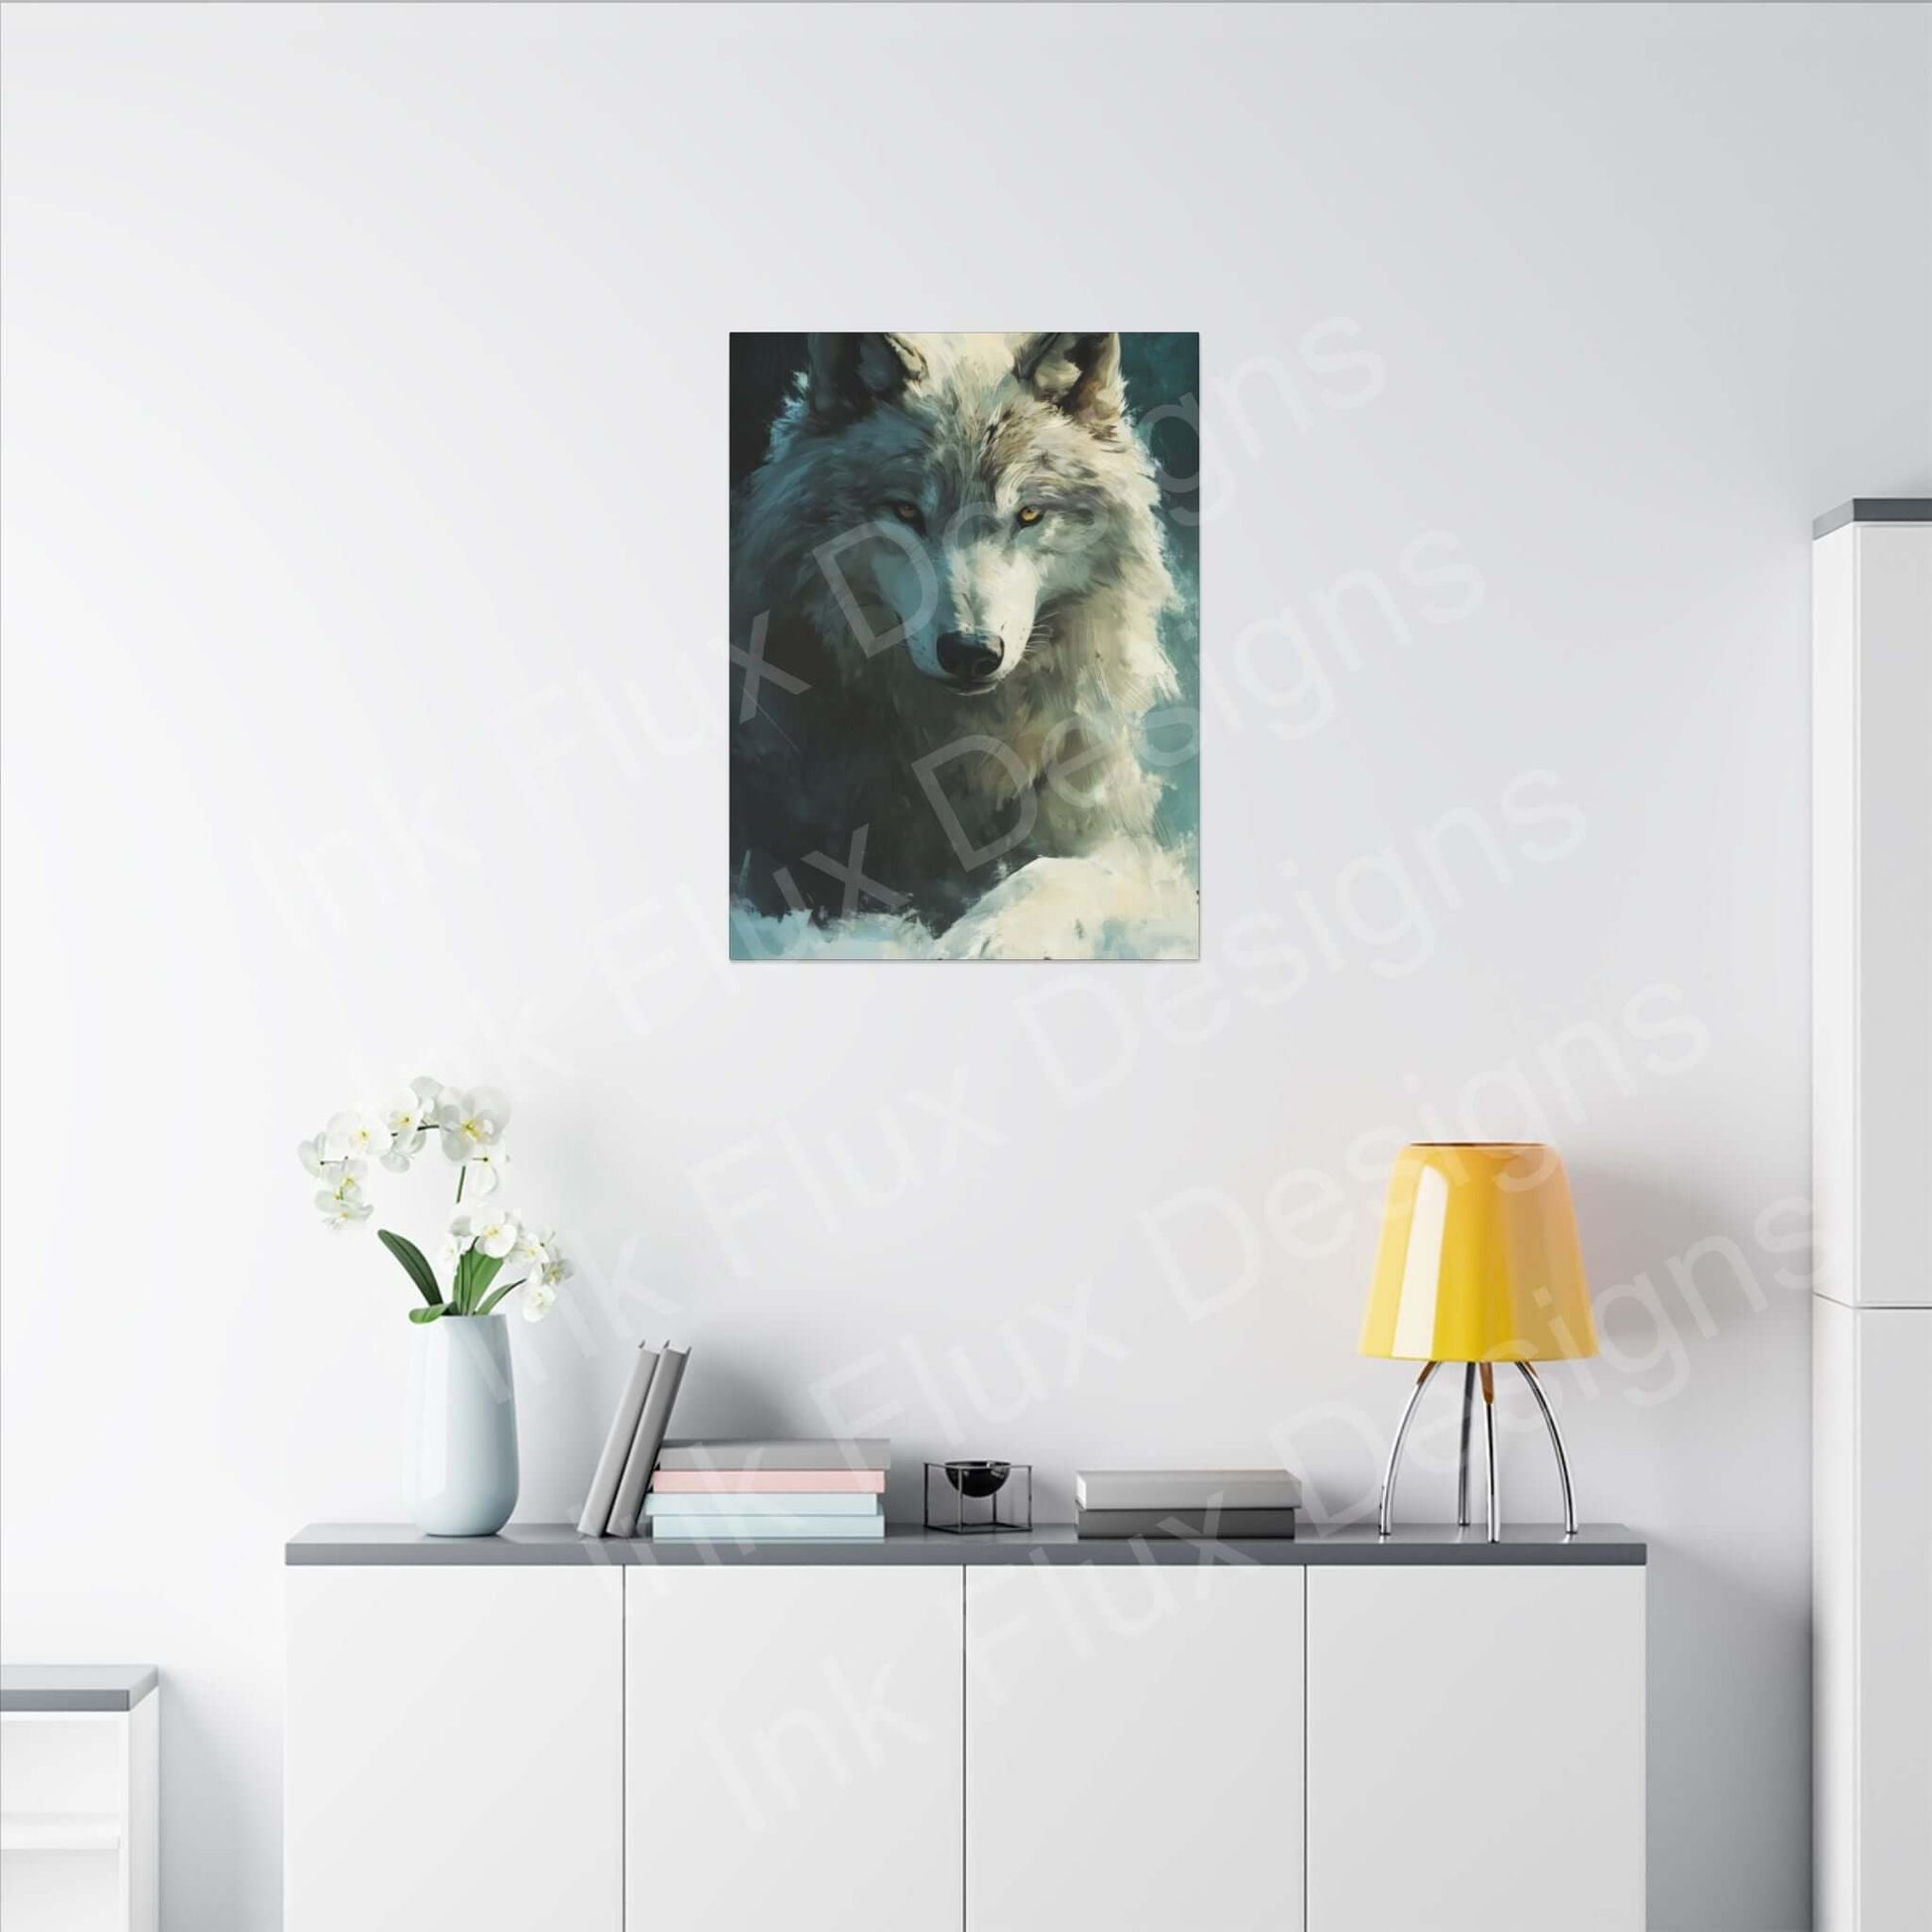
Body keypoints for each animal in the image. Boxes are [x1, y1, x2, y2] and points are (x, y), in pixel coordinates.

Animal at [730, 332, 1192, 939]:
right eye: (906, 511)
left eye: (1028, 514)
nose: (971, 653)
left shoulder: (1122, 847)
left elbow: (1054, 872)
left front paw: (986, 936)